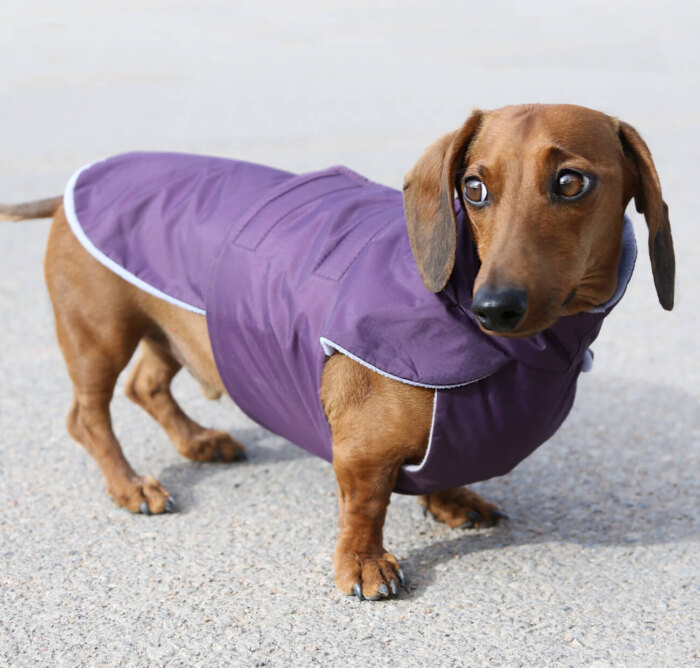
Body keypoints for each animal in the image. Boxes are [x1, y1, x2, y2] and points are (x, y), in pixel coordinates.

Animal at [2, 103, 676, 600]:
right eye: (474, 187)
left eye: (571, 182)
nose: (494, 308)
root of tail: (72, 186)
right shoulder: (360, 449)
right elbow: (365, 505)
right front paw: (365, 565)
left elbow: (443, 466)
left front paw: (451, 501)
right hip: (99, 333)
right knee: (88, 415)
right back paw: (131, 486)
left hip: (177, 327)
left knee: (147, 384)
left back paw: (199, 441)